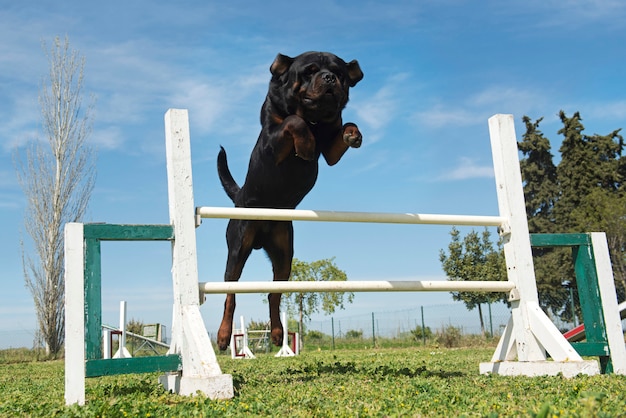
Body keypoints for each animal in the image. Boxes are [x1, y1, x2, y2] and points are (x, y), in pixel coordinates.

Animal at [216, 53, 360, 352]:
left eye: (340, 73)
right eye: (309, 71)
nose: (329, 78)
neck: (315, 119)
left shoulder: (330, 151)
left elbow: (343, 126)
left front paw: (353, 133)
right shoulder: (274, 141)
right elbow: (293, 121)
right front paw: (305, 145)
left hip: (284, 254)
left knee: (274, 294)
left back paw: (276, 333)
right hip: (237, 247)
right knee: (230, 295)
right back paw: (223, 336)